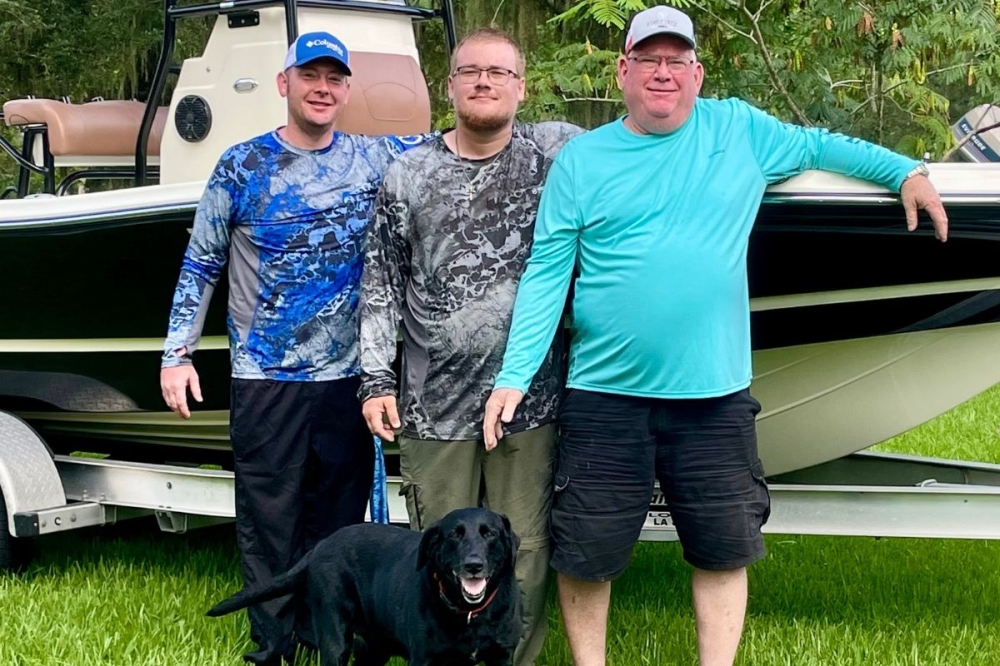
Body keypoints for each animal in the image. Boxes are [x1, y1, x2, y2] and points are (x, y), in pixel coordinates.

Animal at [208, 506, 528, 660]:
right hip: (335, 639)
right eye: (454, 535)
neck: (470, 615)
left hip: (373, 650)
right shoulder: (424, 658)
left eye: (490, 534)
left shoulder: (501, 657)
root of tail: (321, 546)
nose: (473, 565)